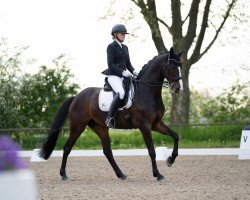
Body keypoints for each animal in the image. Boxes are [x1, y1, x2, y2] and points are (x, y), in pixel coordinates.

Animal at [39, 47, 184, 181]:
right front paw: (158, 174)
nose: (178, 88)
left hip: (100, 128)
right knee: (67, 148)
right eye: (172, 67)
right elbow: (152, 151)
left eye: (180, 66)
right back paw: (63, 174)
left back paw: (121, 174)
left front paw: (170, 160)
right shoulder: (145, 126)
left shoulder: (156, 124)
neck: (147, 92)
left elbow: (176, 136)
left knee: (107, 151)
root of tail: (76, 97)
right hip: (77, 126)